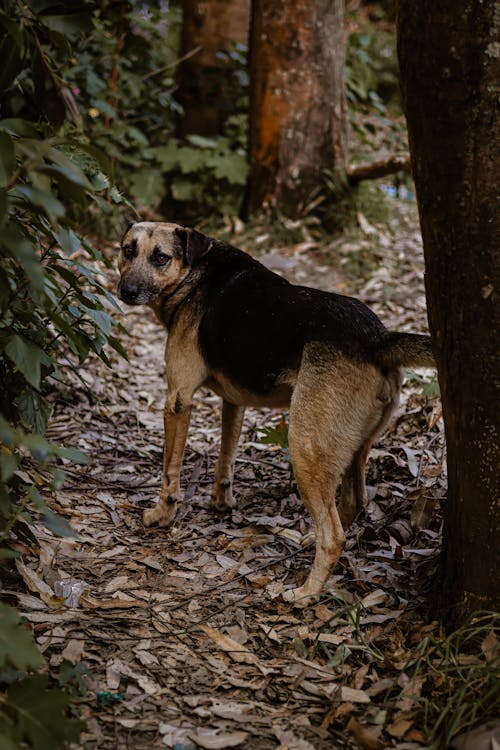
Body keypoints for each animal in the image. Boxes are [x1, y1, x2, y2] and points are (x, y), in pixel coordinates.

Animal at [118, 222, 434, 604]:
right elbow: (226, 458)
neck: (196, 271)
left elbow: (169, 473)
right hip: (355, 445)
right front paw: (221, 502)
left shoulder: (178, 400)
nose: (125, 291)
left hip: (305, 447)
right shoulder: (234, 402)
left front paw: (162, 515)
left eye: (160, 258)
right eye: (128, 250)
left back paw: (306, 592)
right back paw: (311, 544)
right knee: (353, 501)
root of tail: (377, 339)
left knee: (334, 535)